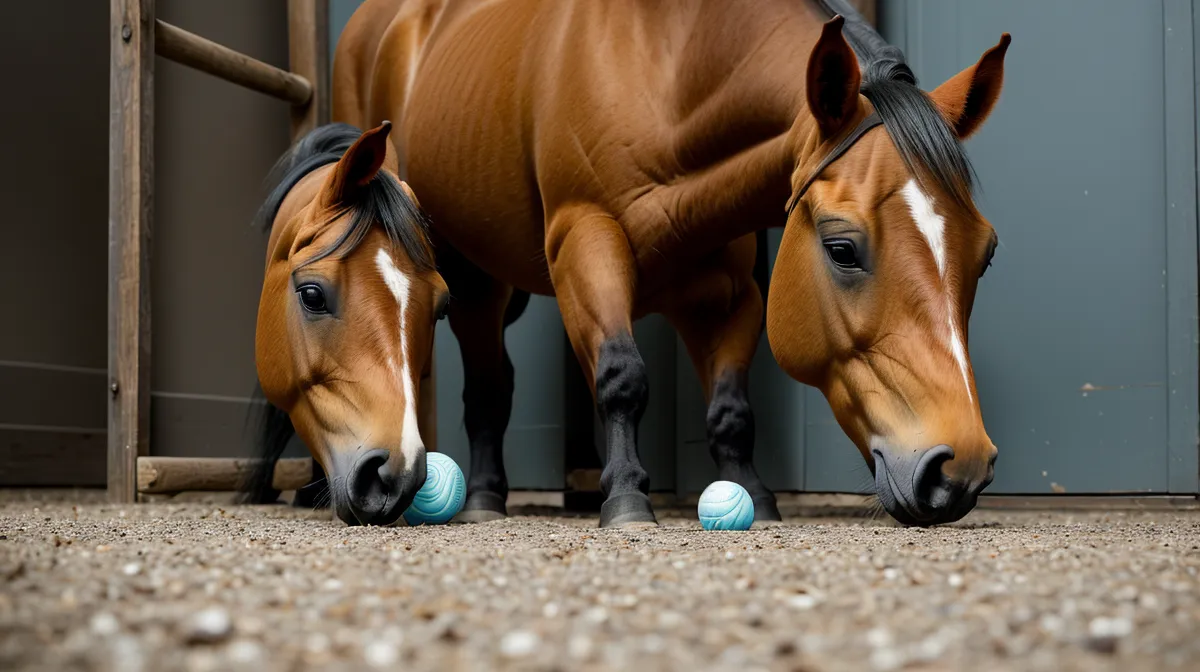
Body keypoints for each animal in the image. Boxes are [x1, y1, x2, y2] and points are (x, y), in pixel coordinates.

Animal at [331, 0, 1010, 528]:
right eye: (842, 249)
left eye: (986, 255)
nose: (957, 468)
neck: (664, 72)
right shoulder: (586, 245)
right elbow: (622, 378)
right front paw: (628, 501)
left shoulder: (728, 294)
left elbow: (732, 409)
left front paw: (755, 497)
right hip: (473, 277)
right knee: (489, 388)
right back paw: (483, 500)